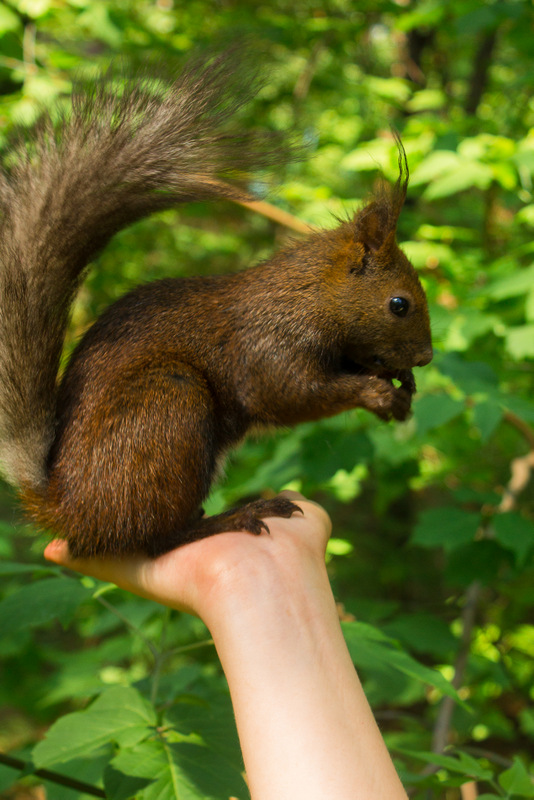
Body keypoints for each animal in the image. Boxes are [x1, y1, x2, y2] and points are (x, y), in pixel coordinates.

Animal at [0, 48, 436, 556]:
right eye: (399, 304)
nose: (426, 357)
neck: (307, 295)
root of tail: (68, 508)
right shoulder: (268, 345)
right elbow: (287, 393)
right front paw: (379, 394)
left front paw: (401, 381)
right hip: (167, 404)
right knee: (156, 538)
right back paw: (236, 516)